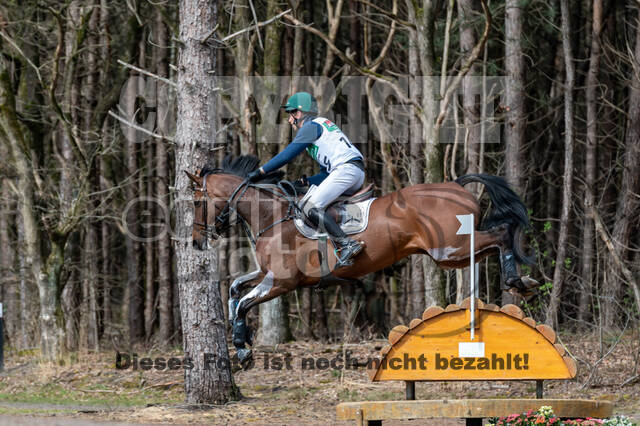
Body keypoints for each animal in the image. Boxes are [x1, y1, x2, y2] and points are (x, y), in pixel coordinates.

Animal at [184, 155, 536, 364]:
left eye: (198, 202)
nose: (197, 241)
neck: (273, 216)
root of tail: (457, 185)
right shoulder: (265, 273)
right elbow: (234, 291)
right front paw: (242, 341)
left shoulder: (282, 281)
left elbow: (243, 302)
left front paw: (242, 346)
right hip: (453, 253)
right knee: (491, 244)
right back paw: (517, 283)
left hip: (449, 249)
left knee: (501, 233)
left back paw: (516, 279)